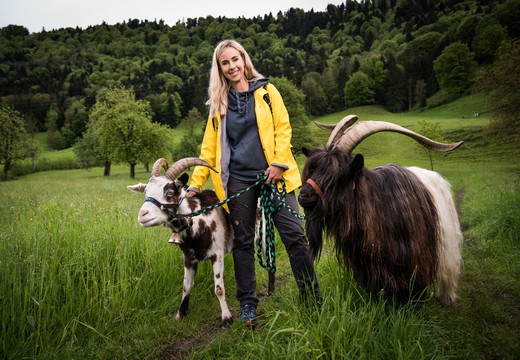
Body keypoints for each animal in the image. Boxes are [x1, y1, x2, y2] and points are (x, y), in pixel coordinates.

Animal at [298, 116, 466, 306]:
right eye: (313, 169)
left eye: (339, 174)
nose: (303, 195)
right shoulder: (368, 263)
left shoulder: (414, 256)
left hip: (447, 240)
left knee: (448, 269)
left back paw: (448, 298)